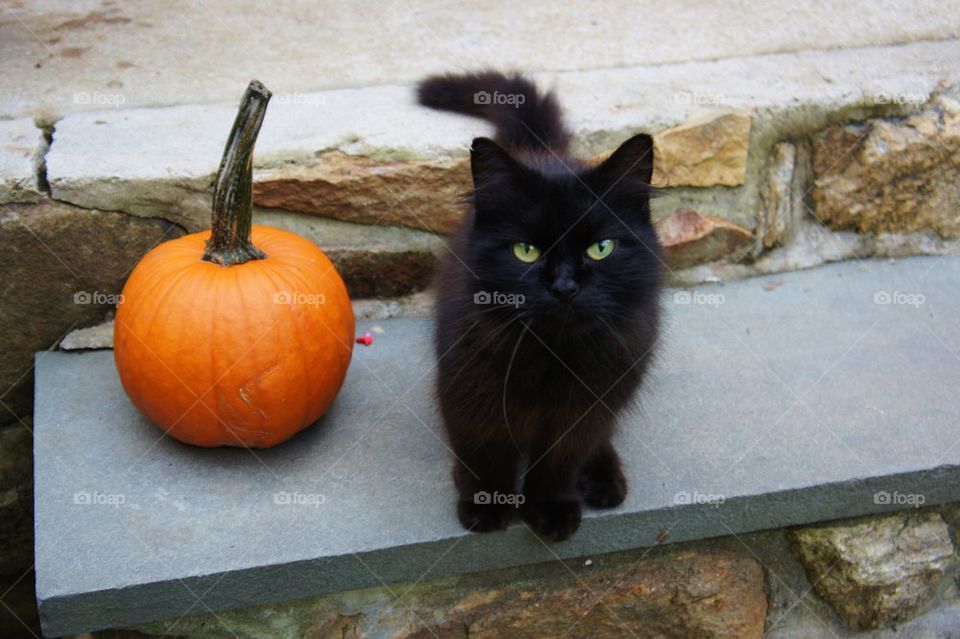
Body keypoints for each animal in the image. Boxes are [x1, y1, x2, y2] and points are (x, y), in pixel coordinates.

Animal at [416, 71, 664, 540]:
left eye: (600, 248)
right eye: (525, 251)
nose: (564, 286)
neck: (551, 354)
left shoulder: (582, 413)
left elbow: (557, 464)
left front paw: (550, 510)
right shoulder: (468, 393)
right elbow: (484, 453)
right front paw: (487, 506)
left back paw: (604, 480)